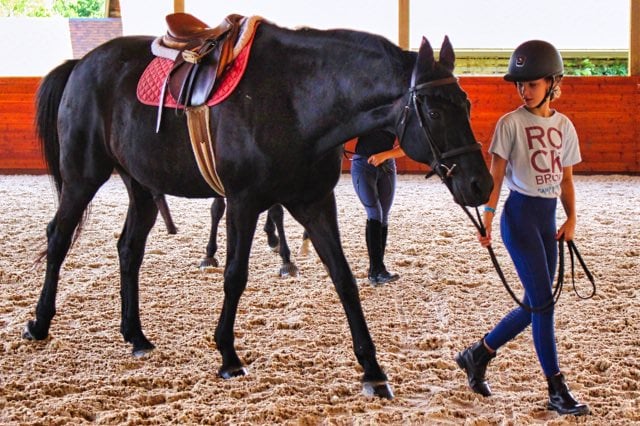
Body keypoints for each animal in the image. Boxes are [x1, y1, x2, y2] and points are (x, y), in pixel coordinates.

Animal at [26, 17, 493, 399]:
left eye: (467, 104)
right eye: (434, 110)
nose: (481, 184)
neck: (296, 99)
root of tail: (81, 64)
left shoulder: (314, 202)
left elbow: (344, 279)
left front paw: (373, 370)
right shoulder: (243, 202)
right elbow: (235, 276)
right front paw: (228, 356)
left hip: (141, 186)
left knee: (128, 249)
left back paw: (135, 335)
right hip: (82, 177)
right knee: (59, 237)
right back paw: (39, 323)